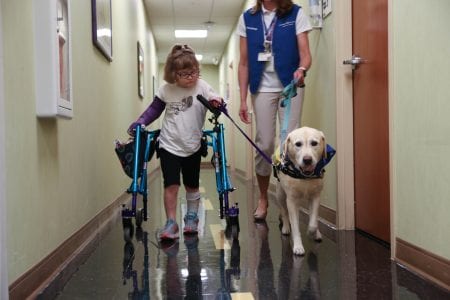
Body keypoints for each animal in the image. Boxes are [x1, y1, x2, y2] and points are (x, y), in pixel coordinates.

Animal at [274, 126, 326, 255]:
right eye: (298, 144)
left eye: (314, 143)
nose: (307, 160)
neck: (304, 176)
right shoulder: (292, 201)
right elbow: (295, 225)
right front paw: (297, 246)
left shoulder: (315, 197)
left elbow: (313, 222)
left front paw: (312, 232)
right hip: (280, 195)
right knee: (284, 212)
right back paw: (286, 227)